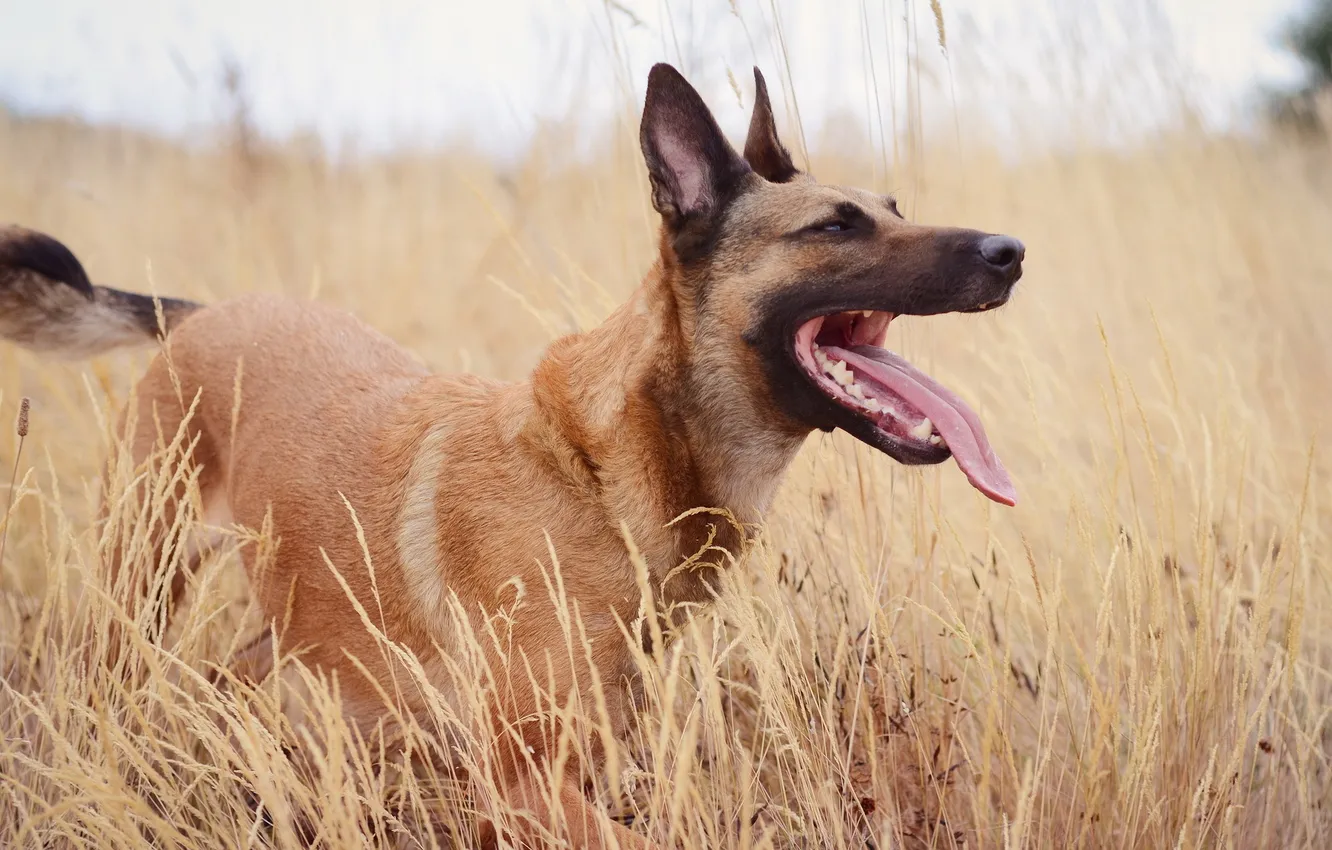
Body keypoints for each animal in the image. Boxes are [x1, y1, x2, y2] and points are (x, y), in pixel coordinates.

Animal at [0, 63, 1017, 847]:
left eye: (892, 207)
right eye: (835, 226)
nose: (1010, 251)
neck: (603, 472)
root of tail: (204, 313)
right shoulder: (524, 777)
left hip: (300, 625)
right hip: (137, 587)